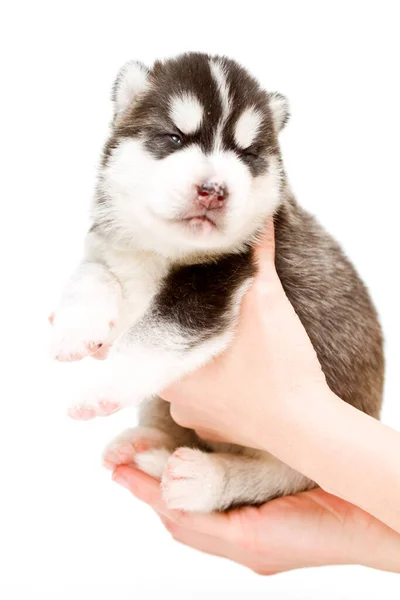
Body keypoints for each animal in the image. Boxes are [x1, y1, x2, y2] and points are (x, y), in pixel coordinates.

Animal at [50, 52, 384, 510]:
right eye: (174, 138)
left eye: (247, 153)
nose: (213, 189)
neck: (164, 250)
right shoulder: (108, 248)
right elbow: (92, 274)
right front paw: (75, 330)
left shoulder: (218, 279)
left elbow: (151, 337)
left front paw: (100, 389)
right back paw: (146, 444)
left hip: (316, 447)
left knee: (280, 476)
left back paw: (202, 479)